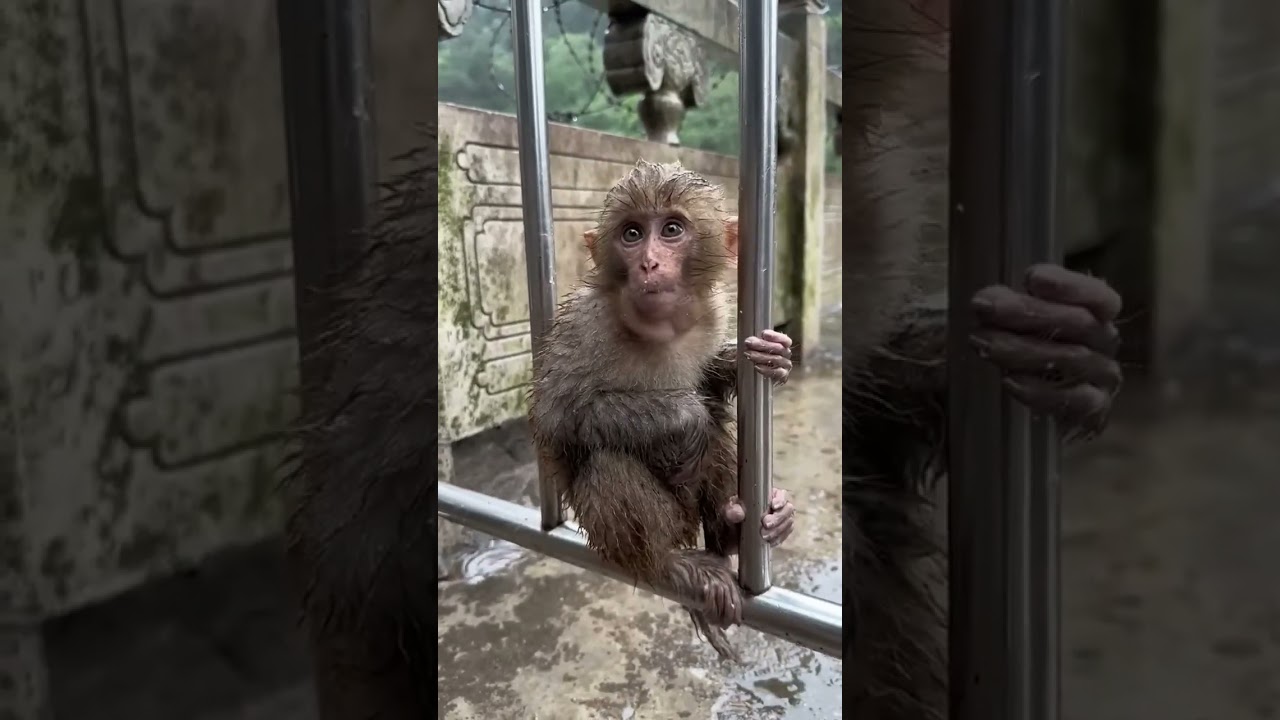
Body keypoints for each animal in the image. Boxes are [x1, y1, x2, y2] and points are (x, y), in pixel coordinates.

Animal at [527, 160, 799, 661]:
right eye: (632, 234)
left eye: (672, 230)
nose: (649, 262)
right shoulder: (584, 324)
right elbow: (557, 418)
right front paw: (683, 417)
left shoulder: (709, 314)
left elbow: (710, 385)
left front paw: (765, 360)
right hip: (665, 523)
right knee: (609, 463)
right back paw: (670, 563)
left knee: (717, 431)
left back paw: (733, 530)